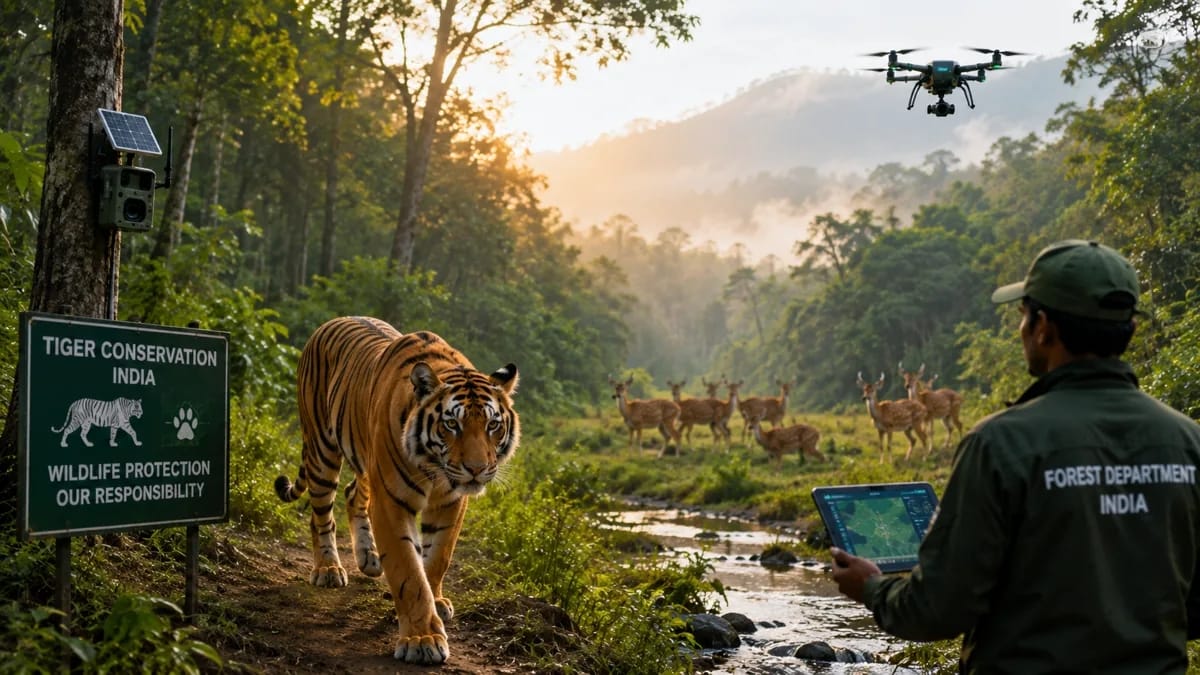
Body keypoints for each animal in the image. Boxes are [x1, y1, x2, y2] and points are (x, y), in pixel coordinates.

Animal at [274, 316, 520, 665]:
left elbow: (437, 558)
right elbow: (409, 572)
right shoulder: (392, 501)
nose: (476, 469)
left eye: (492, 425)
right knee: (320, 514)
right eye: (452, 424)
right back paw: (329, 569)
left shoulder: (450, 503)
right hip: (322, 450)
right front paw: (423, 639)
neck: (435, 469)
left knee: (352, 494)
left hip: (364, 459)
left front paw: (436, 603)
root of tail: (331, 322)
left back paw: (369, 558)